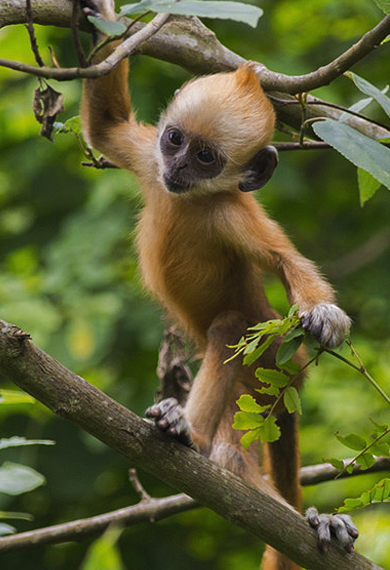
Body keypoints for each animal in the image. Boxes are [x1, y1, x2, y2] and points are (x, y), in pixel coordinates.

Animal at [80, 2, 358, 564]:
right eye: (175, 139)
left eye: (206, 158)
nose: (179, 167)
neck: (187, 201)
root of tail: (290, 370)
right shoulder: (148, 161)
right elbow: (105, 128)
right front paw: (101, 13)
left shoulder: (230, 214)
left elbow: (286, 260)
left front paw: (325, 314)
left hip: (262, 369)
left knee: (231, 336)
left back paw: (189, 436)